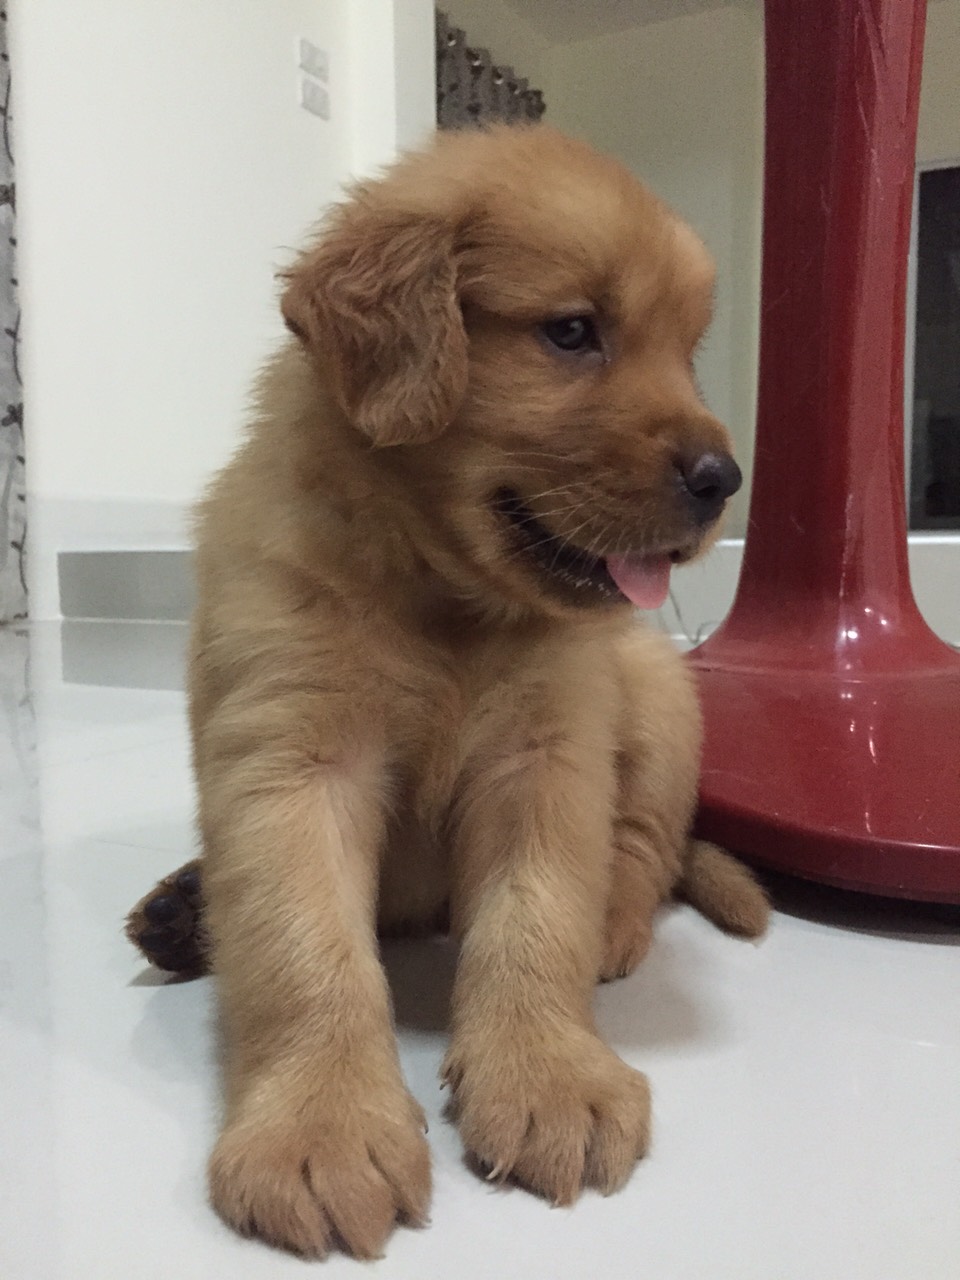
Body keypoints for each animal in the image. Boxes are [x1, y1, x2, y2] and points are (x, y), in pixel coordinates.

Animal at [126, 125, 768, 1260]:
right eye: (572, 332)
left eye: (685, 348)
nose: (722, 479)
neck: (440, 597)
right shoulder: (293, 754)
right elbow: (302, 948)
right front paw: (322, 1128)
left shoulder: (546, 751)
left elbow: (537, 917)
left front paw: (549, 1074)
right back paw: (182, 908)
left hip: (656, 687)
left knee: (645, 844)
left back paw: (616, 923)